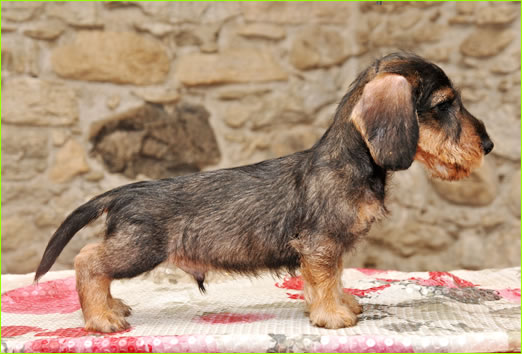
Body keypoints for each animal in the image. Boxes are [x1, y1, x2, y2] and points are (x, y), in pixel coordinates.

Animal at [35, 52, 492, 332]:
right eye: (444, 104)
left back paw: (111, 307)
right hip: (138, 249)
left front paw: (341, 304)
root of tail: (123, 192)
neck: (352, 159)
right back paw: (101, 318)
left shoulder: (326, 248)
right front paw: (332, 316)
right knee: (88, 261)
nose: (487, 146)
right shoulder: (321, 244)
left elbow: (332, 278)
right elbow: (325, 279)